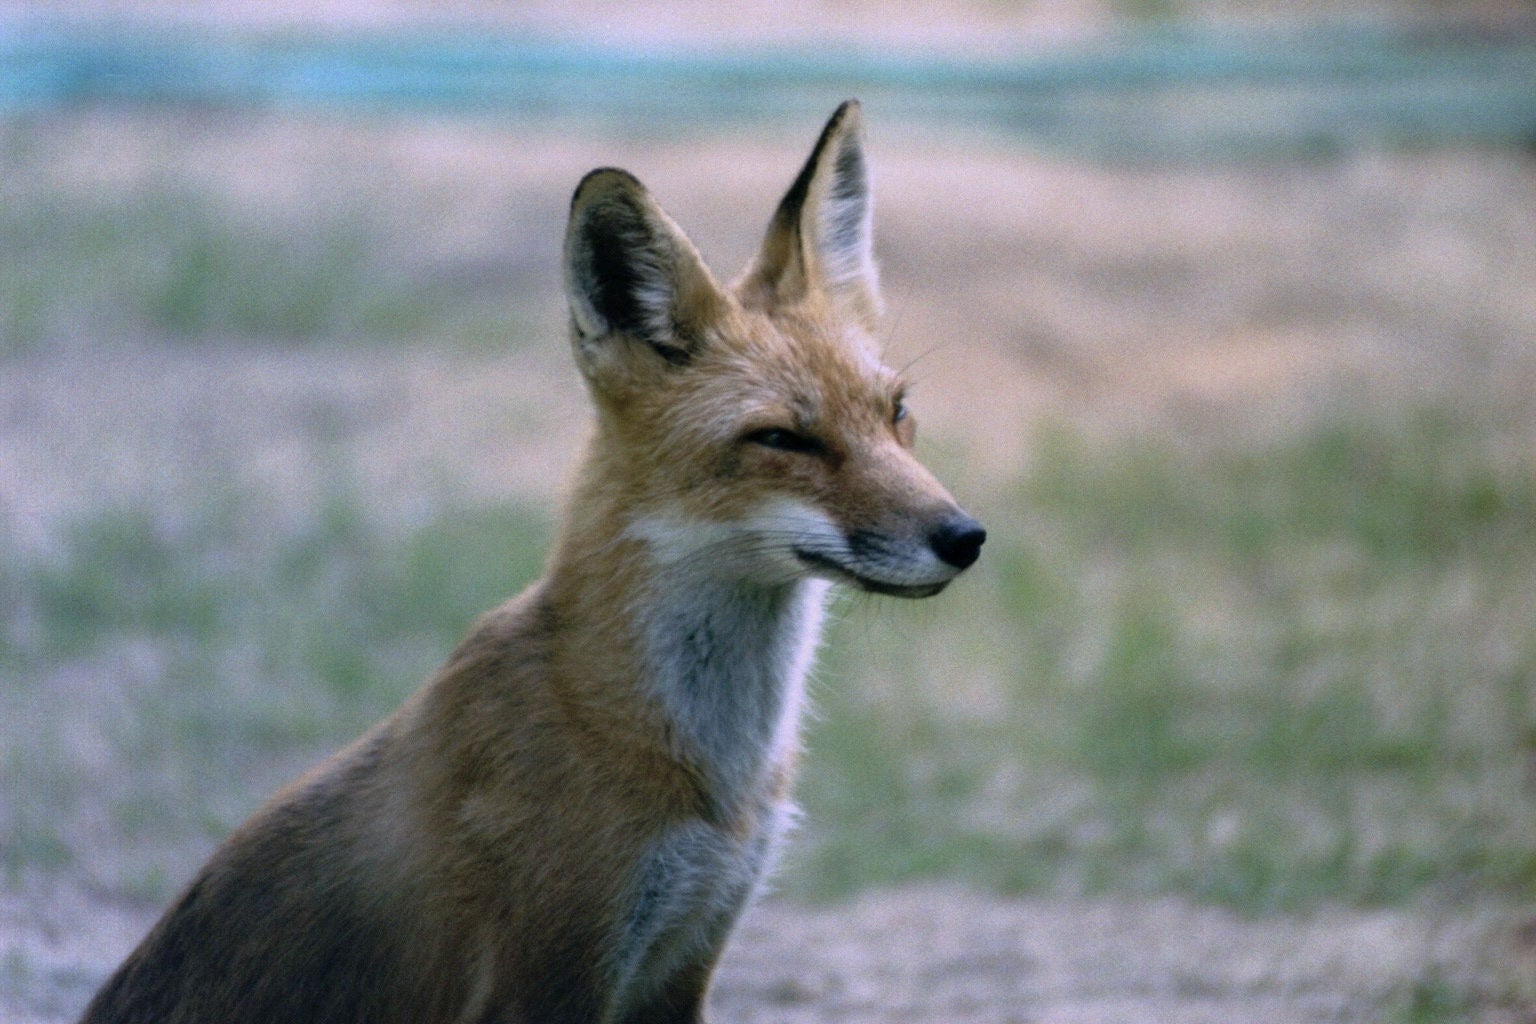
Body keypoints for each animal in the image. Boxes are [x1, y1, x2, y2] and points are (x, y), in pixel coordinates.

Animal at [79, 100, 984, 1024]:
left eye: (896, 413)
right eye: (782, 440)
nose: (965, 536)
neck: (703, 777)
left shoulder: (687, 954)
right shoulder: (552, 972)